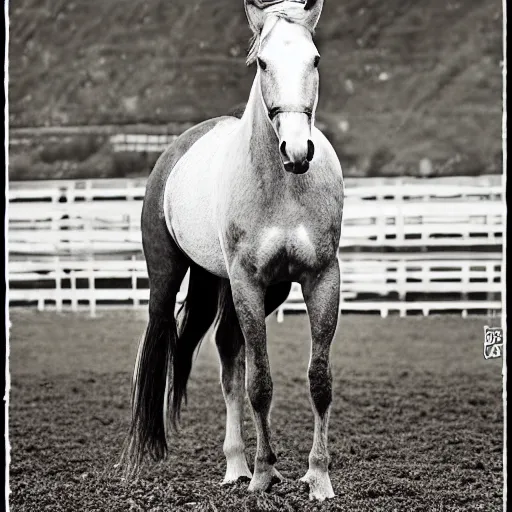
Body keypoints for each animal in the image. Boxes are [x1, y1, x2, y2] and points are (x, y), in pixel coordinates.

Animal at [124, 0, 346, 502]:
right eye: (262, 62)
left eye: (315, 59)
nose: (298, 151)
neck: (285, 186)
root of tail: (174, 151)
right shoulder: (247, 280)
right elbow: (259, 383)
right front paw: (264, 474)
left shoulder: (321, 278)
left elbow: (318, 381)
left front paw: (317, 476)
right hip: (170, 278)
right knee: (169, 346)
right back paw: (225, 464)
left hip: (241, 286)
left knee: (229, 354)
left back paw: (236, 463)